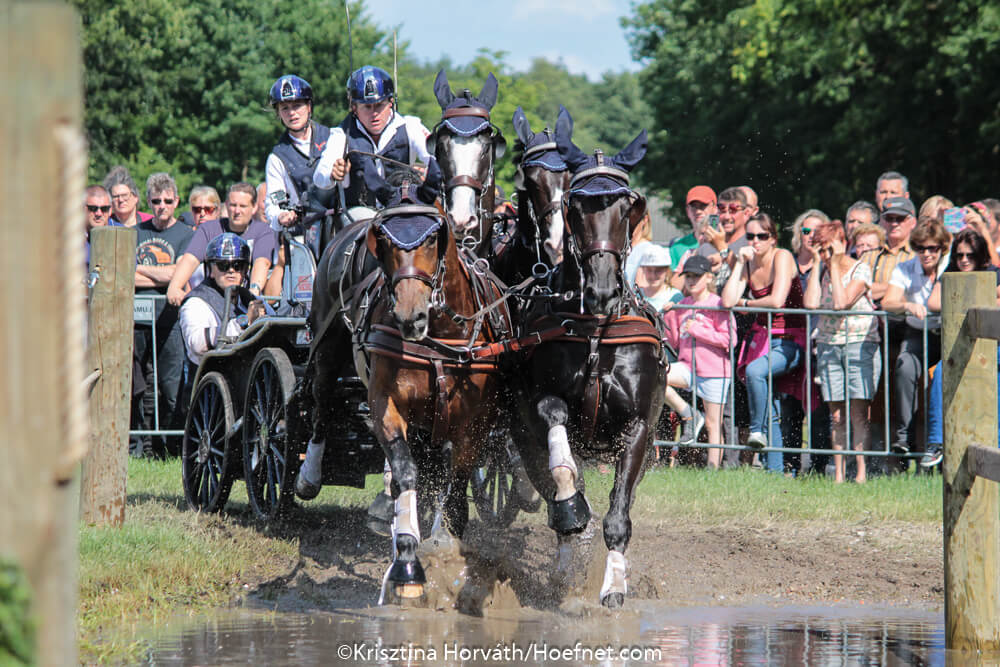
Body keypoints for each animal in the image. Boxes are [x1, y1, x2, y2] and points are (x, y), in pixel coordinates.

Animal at [356, 171, 516, 600]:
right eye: (384, 241)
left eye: (431, 239)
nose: (409, 315)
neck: (439, 340)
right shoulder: (385, 405)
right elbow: (406, 475)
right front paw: (408, 564)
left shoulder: (474, 424)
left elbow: (457, 494)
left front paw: (453, 556)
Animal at [512, 105, 668, 612]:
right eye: (577, 207)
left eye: (626, 207)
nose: (600, 286)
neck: (598, 328)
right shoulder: (540, 404)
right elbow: (562, 467)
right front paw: (572, 509)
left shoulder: (637, 428)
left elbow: (619, 514)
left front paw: (614, 586)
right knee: (551, 495)